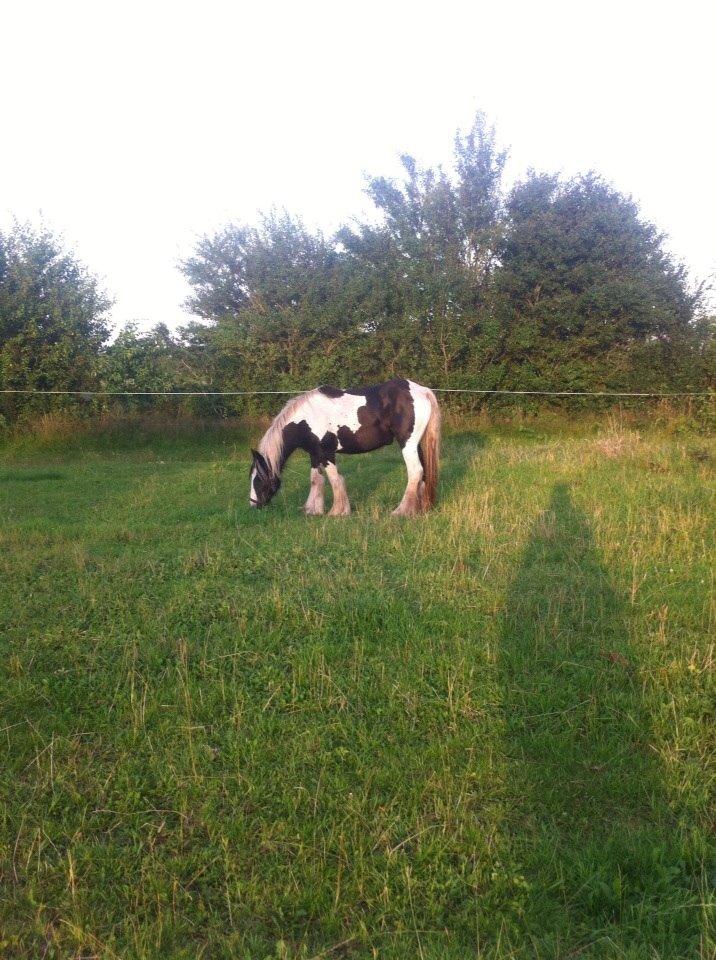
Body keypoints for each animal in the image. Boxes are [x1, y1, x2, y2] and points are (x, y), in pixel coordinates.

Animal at [249, 380, 440, 516]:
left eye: (257, 480)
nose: (253, 505)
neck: (305, 419)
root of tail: (423, 390)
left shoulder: (327, 453)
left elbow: (335, 480)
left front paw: (337, 512)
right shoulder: (314, 454)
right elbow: (316, 480)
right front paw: (312, 510)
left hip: (407, 444)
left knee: (415, 472)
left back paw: (401, 511)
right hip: (416, 445)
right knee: (423, 472)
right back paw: (420, 508)